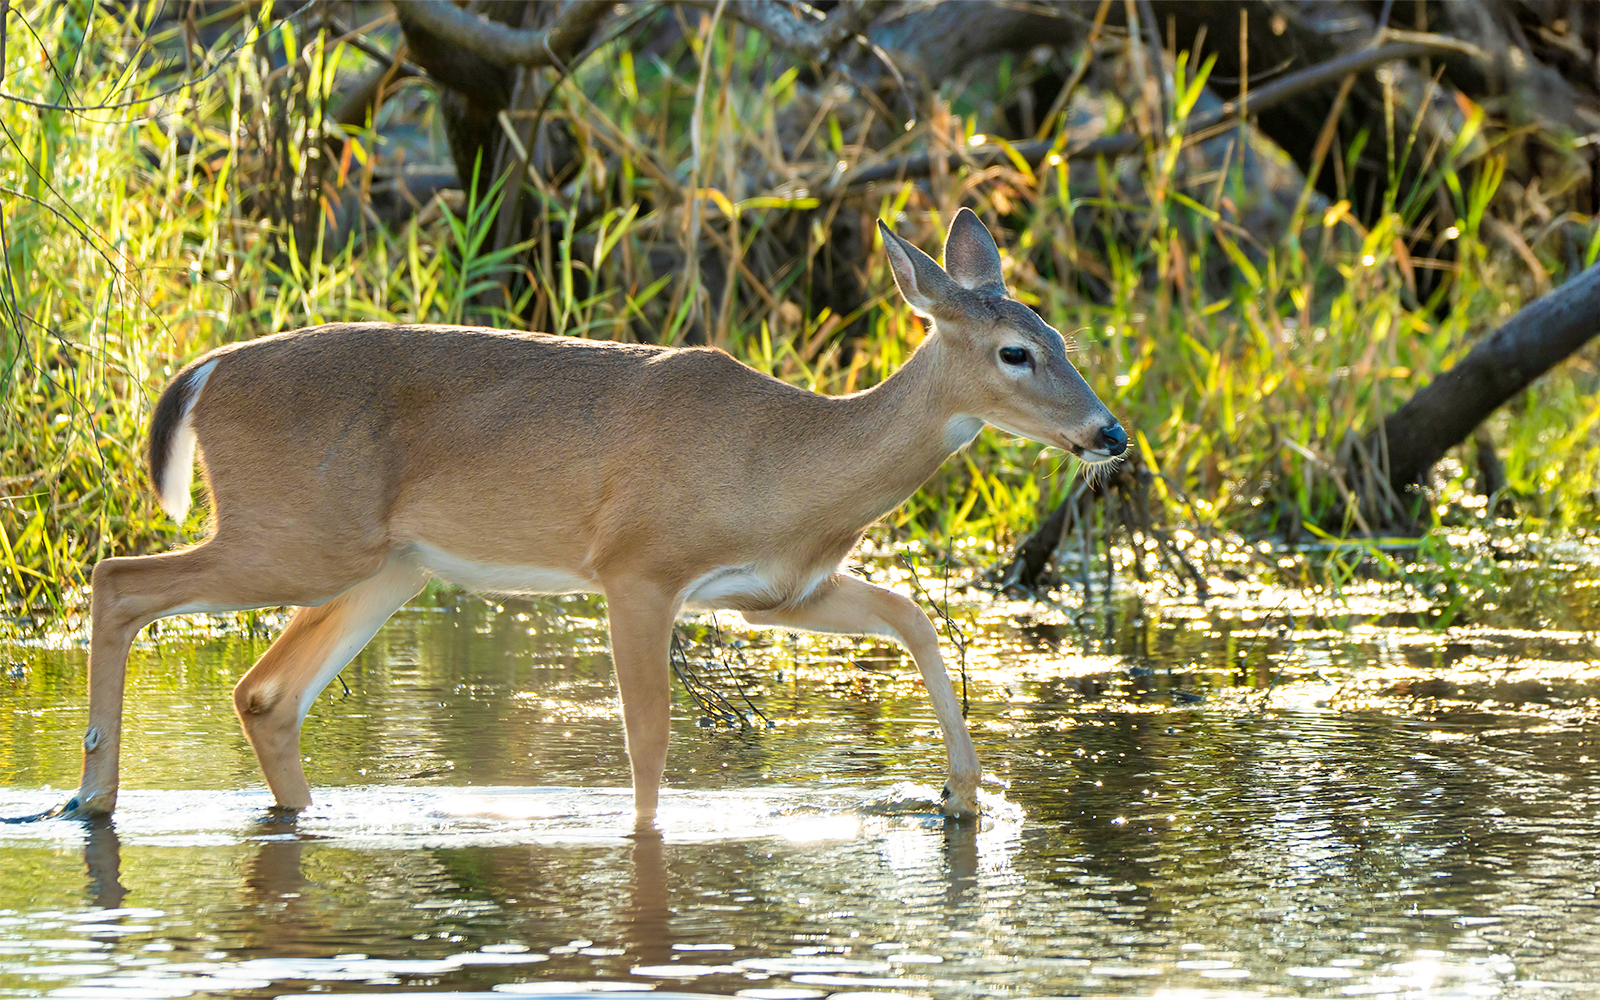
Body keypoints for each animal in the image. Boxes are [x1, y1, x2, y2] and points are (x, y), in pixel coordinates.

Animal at [55, 209, 1125, 832]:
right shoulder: (637, 566)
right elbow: (647, 734)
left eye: (1066, 337)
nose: (1109, 433)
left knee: (265, 693)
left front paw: (961, 796)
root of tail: (206, 370)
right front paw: (644, 840)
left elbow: (913, 616)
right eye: (1016, 351)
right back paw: (91, 796)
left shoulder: (774, 594)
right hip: (297, 536)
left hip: (386, 565)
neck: (788, 459)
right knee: (118, 581)